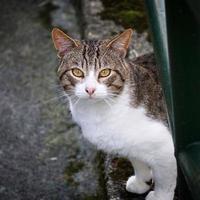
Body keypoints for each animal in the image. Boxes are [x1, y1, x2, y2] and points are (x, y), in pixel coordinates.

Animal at [51, 27, 177, 200]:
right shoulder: (129, 143)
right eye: (77, 72)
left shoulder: (166, 150)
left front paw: (159, 197)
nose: (90, 90)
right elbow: (138, 162)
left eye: (105, 72)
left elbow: (165, 180)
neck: (98, 112)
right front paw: (141, 182)